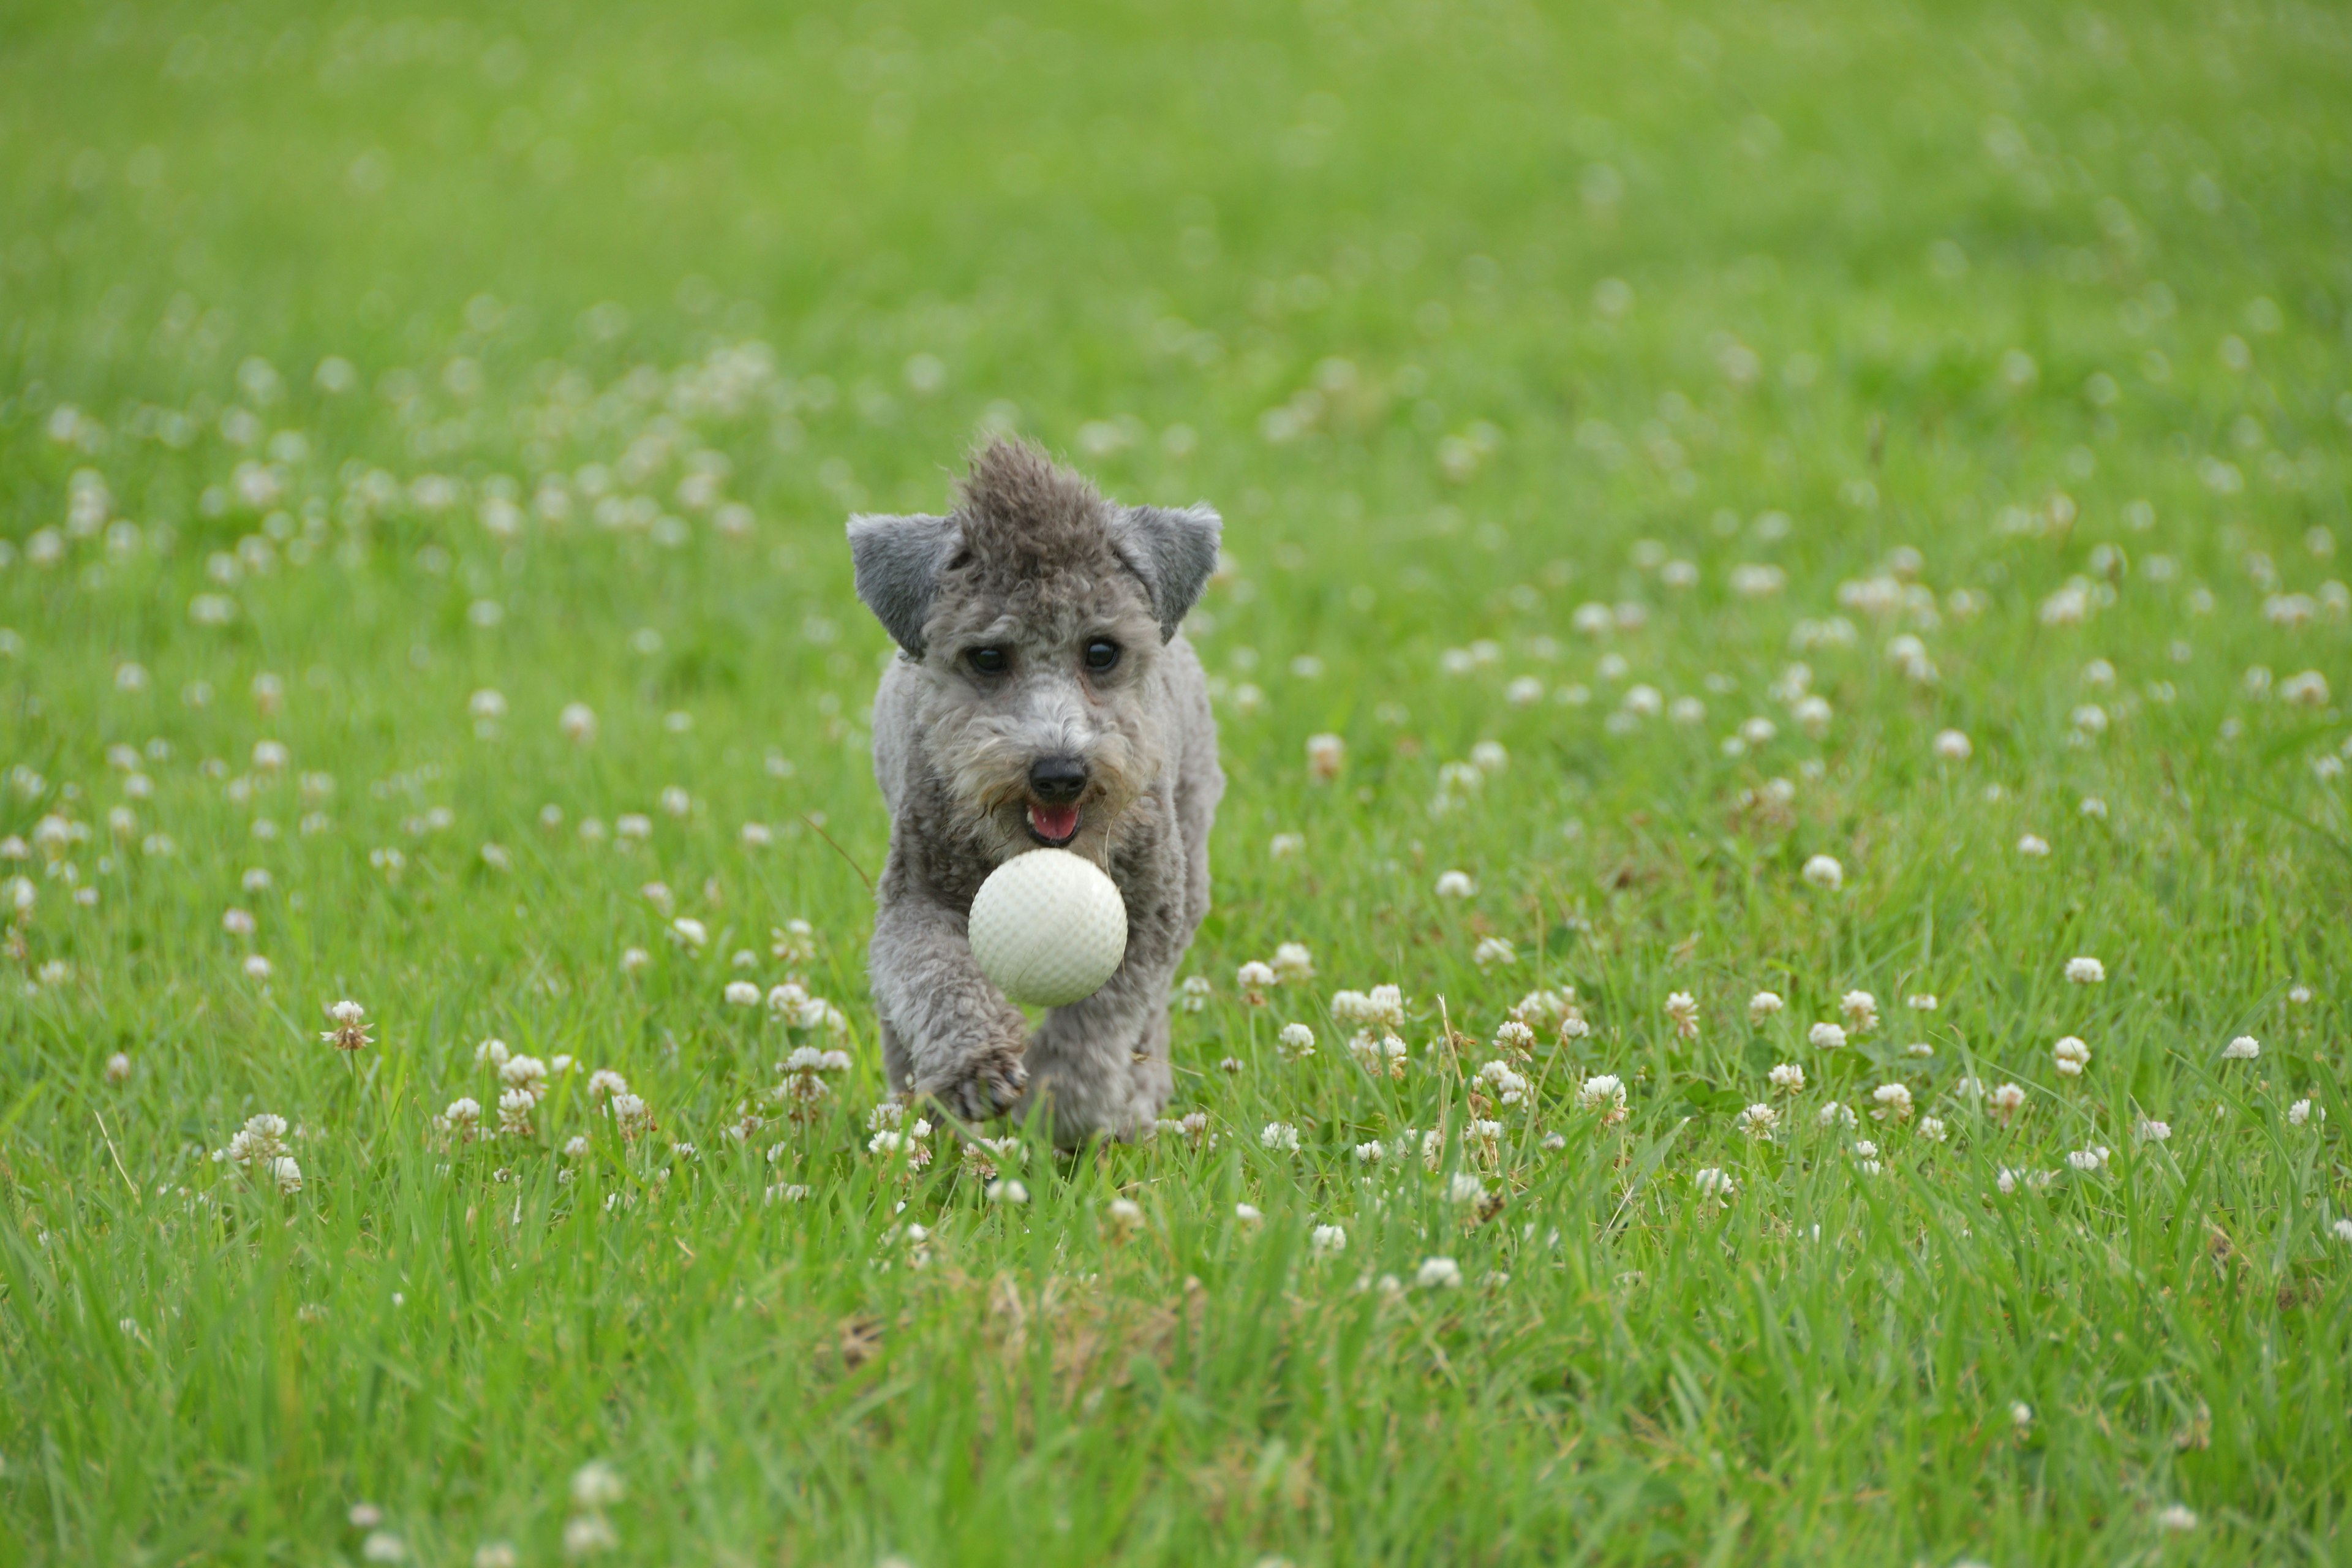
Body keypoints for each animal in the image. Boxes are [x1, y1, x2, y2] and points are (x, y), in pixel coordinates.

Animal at [846, 435, 1223, 1147]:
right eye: (988, 657)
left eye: (1101, 650)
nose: (1059, 774)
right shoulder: (914, 899)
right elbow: (934, 976)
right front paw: (977, 1069)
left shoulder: (1150, 913)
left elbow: (1101, 1017)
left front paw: (1063, 1104)